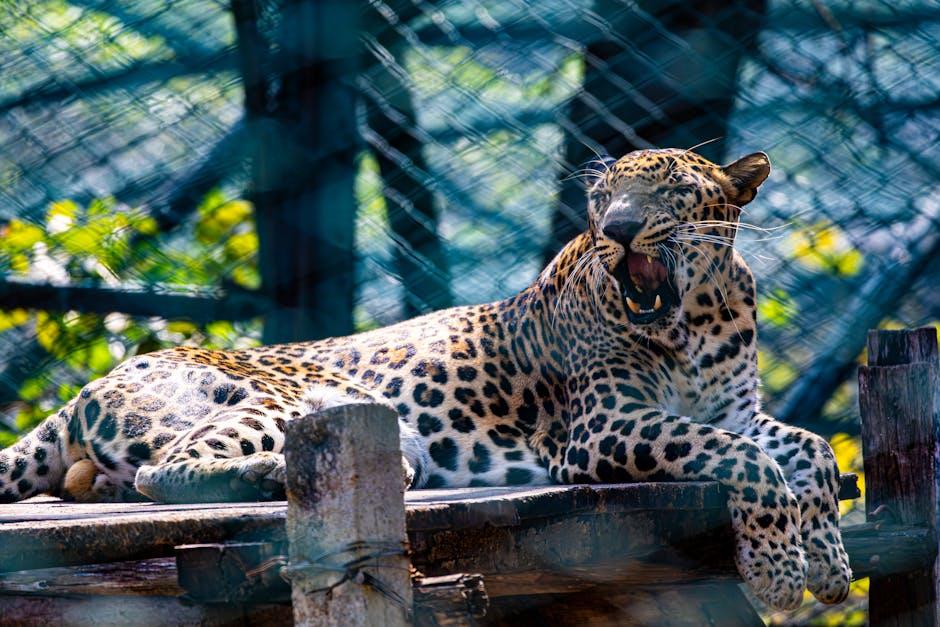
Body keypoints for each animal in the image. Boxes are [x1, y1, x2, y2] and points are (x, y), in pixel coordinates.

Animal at [0, 147, 852, 608]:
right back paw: (307, 469)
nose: (619, 229)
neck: (697, 316)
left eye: (668, 190)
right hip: (283, 399)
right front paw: (779, 573)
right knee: (166, 470)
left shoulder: (734, 409)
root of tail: (85, 392)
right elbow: (752, 461)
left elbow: (809, 449)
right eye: (606, 196)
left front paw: (831, 565)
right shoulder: (601, 428)